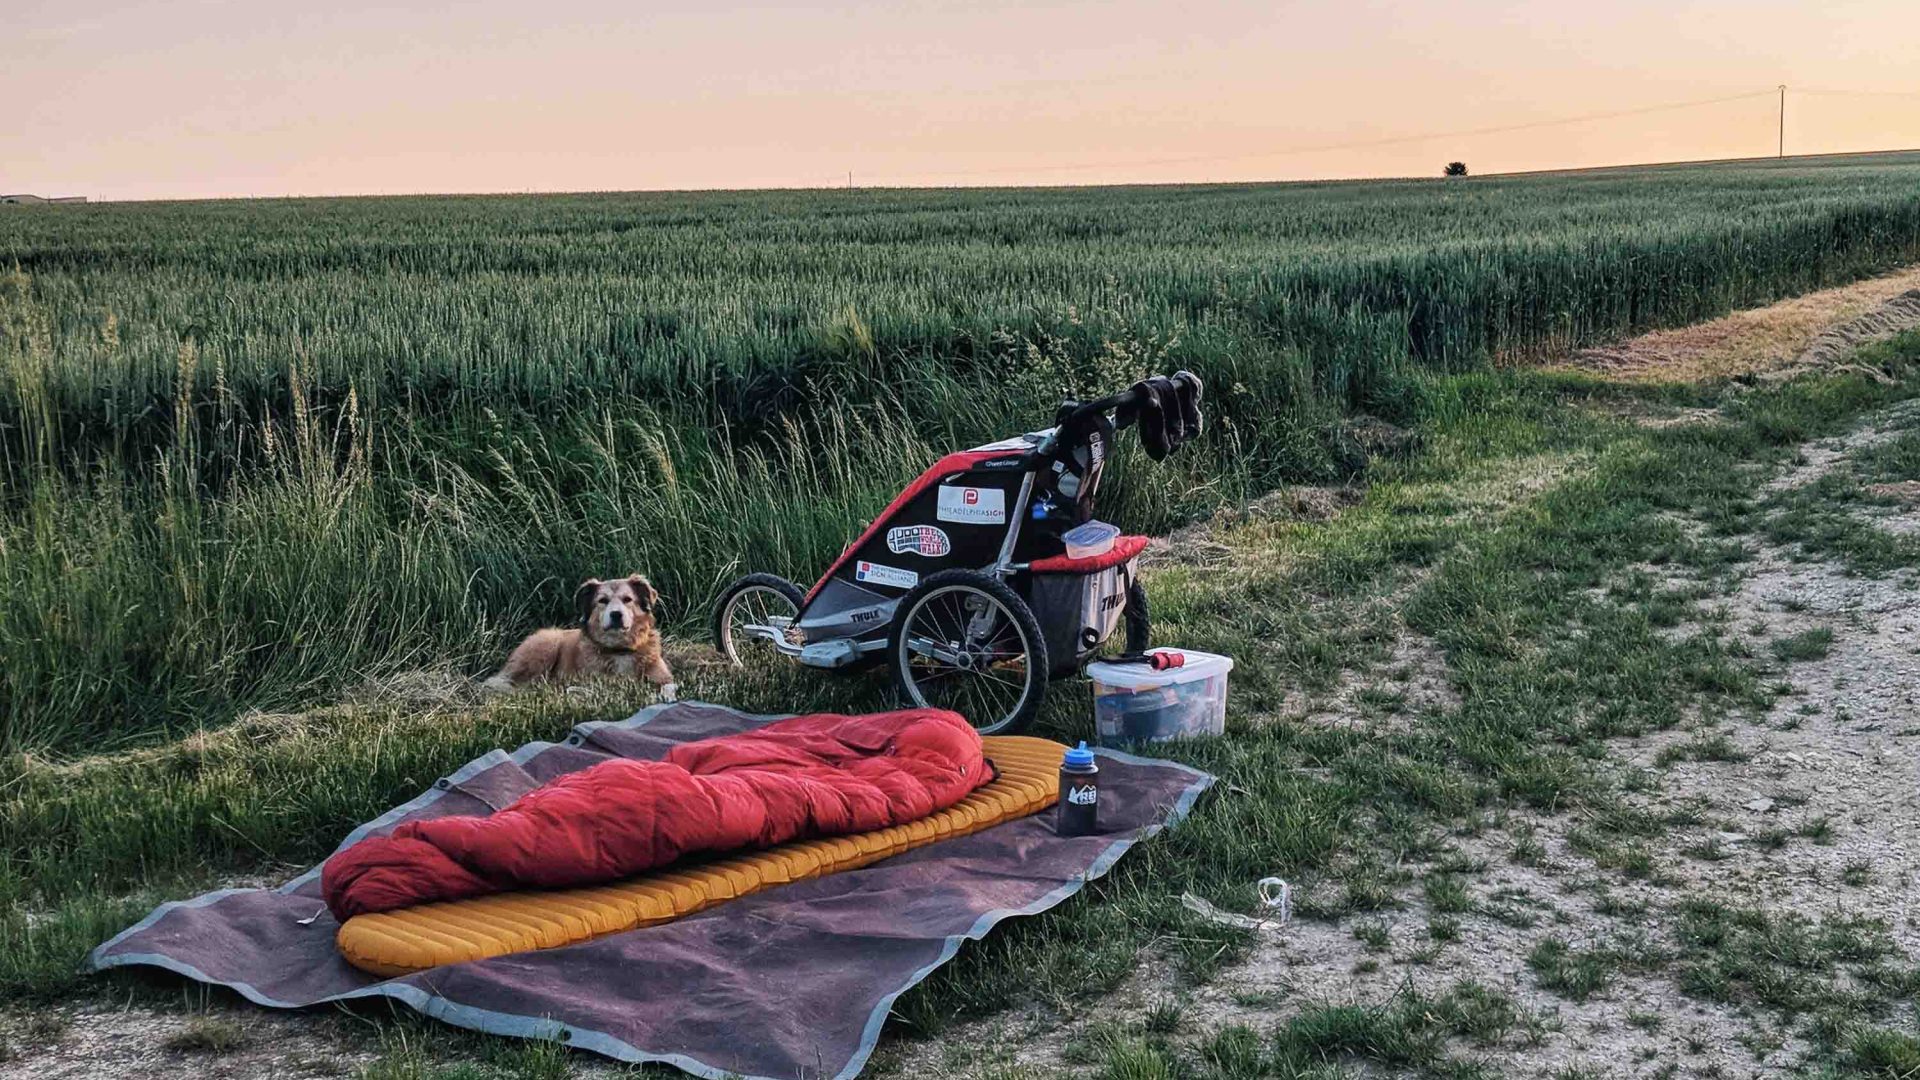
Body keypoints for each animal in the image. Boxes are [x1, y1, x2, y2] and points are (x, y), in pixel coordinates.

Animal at [483, 572, 679, 699]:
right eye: (602, 601)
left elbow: (669, 686)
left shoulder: (663, 677)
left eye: (627, 599)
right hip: (546, 646)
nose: (616, 614)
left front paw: (666, 697)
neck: (620, 649)